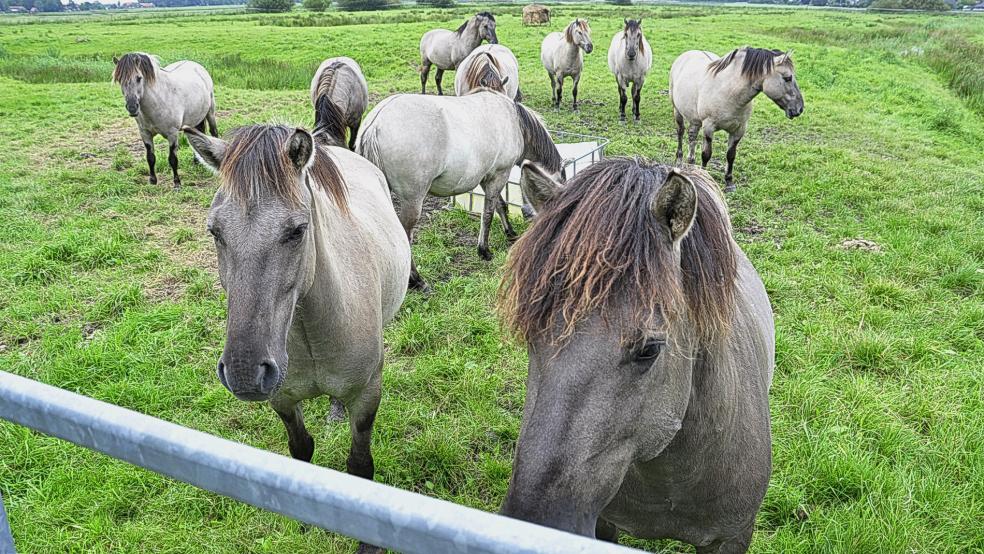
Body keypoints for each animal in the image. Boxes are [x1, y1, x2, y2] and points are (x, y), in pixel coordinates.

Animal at [113, 52, 217, 190]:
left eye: (139, 78)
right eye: (119, 80)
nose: (132, 107)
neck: (158, 100)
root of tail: (196, 66)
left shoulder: (172, 134)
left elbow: (172, 159)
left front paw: (177, 183)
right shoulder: (145, 134)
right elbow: (150, 157)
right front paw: (152, 180)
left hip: (210, 113)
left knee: (214, 132)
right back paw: (197, 161)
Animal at [183, 123, 410, 552]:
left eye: (297, 230)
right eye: (214, 230)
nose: (244, 371)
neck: (310, 331)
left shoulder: (367, 394)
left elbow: (360, 465)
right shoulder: (282, 398)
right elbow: (301, 450)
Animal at [360, 71, 560, 292]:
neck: (515, 120)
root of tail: (376, 123)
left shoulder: (487, 176)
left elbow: (499, 205)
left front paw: (509, 233)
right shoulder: (500, 174)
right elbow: (488, 213)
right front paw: (484, 250)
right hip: (413, 200)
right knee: (405, 233)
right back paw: (417, 280)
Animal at [672, 46, 804, 192]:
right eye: (787, 78)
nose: (799, 109)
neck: (728, 92)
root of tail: (687, 54)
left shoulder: (739, 129)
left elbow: (731, 155)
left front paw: (729, 182)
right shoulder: (708, 127)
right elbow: (706, 154)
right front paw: (705, 178)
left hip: (695, 119)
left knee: (692, 136)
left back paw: (691, 162)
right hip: (677, 111)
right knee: (680, 132)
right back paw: (679, 161)